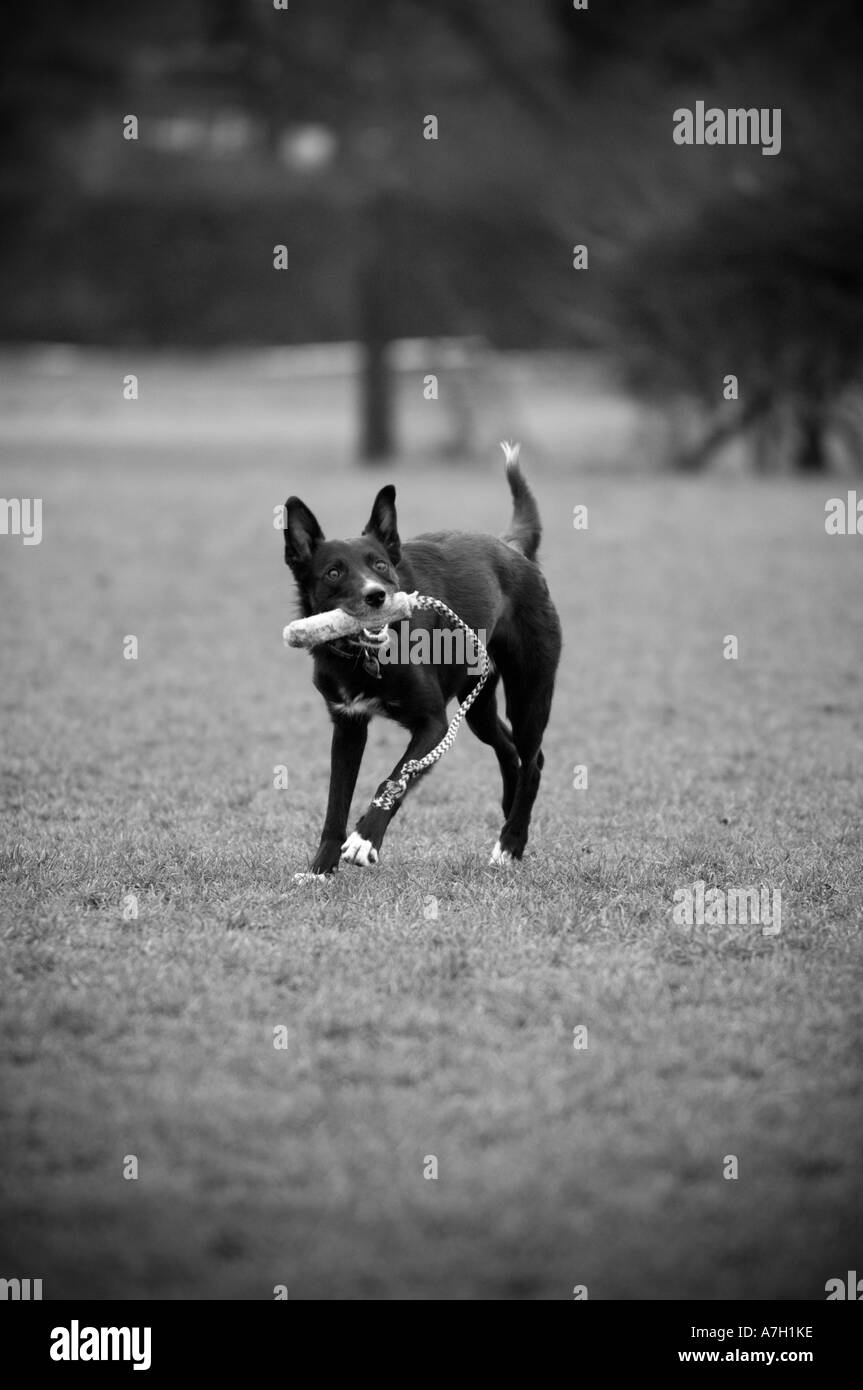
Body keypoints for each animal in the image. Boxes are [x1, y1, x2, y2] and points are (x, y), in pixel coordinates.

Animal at [286, 450, 561, 872]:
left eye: (380, 565)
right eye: (333, 572)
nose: (377, 596)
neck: (367, 659)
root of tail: (511, 547)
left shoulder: (433, 725)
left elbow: (395, 778)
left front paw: (365, 839)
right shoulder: (348, 726)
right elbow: (336, 803)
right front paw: (321, 869)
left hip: (529, 692)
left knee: (533, 761)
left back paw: (511, 841)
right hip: (478, 704)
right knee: (508, 749)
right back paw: (508, 816)